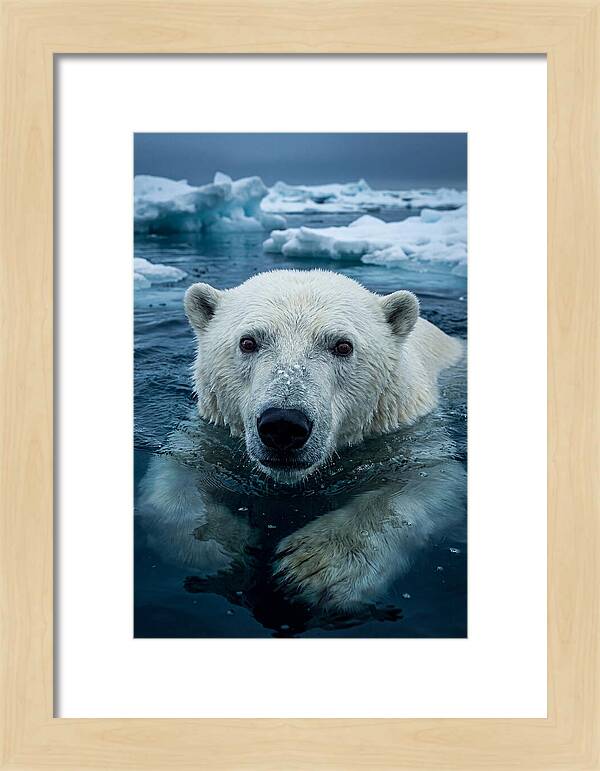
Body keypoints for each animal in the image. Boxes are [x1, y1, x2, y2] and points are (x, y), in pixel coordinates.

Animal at [138, 269, 466, 620]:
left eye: (343, 345)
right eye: (248, 341)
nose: (283, 425)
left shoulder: (409, 431)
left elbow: (428, 481)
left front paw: (313, 567)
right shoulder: (211, 432)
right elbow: (175, 477)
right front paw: (222, 548)